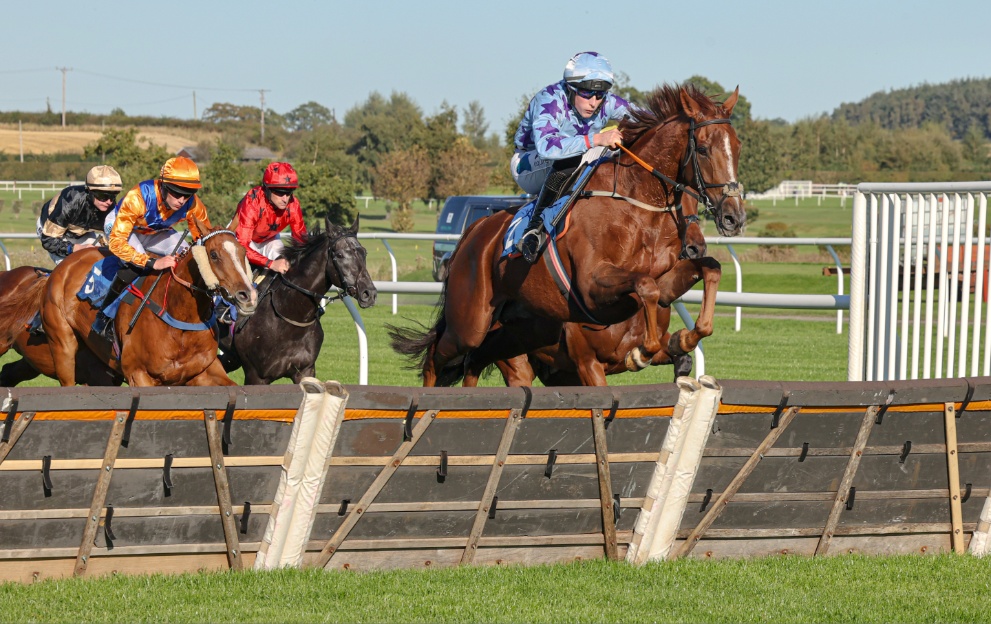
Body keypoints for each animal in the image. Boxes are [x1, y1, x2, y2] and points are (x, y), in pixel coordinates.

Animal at [394, 83, 744, 386]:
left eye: (738, 147)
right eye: (703, 148)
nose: (733, 217)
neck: (635, 207)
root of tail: (472, 233)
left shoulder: (664, 278)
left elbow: (708, 270)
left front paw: (685, 336)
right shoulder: (591, 290)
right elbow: (645, 287)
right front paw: (643, 351)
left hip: (515, 336)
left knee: (475, 362)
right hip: (471, 320)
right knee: (436, 357)